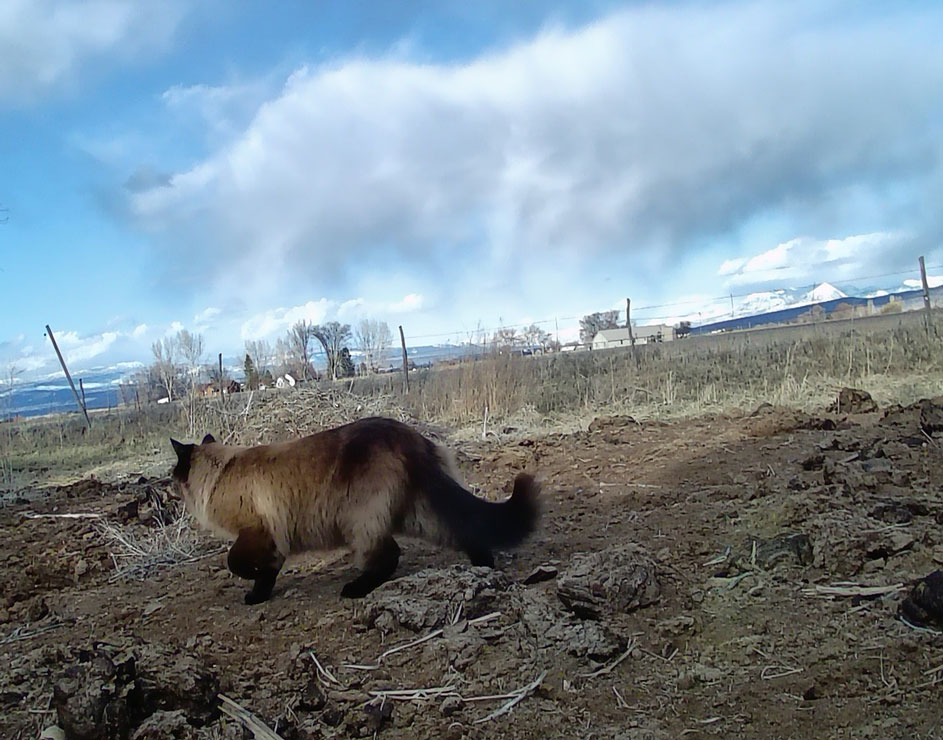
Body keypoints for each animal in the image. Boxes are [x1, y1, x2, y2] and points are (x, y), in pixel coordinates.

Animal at [169, 416, 540, 604]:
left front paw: (252, 590)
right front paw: (259, 596)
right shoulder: (273, 541)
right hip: (421, 512)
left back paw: (356, 589)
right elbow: (268, 572)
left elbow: (237, 563)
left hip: (360, 520)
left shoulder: (256, 533)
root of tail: (410, 438)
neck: (220, 470)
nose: (168, 481)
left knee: (389, 555)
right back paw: (482, 571)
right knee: (467, 530)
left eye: (175, 472)